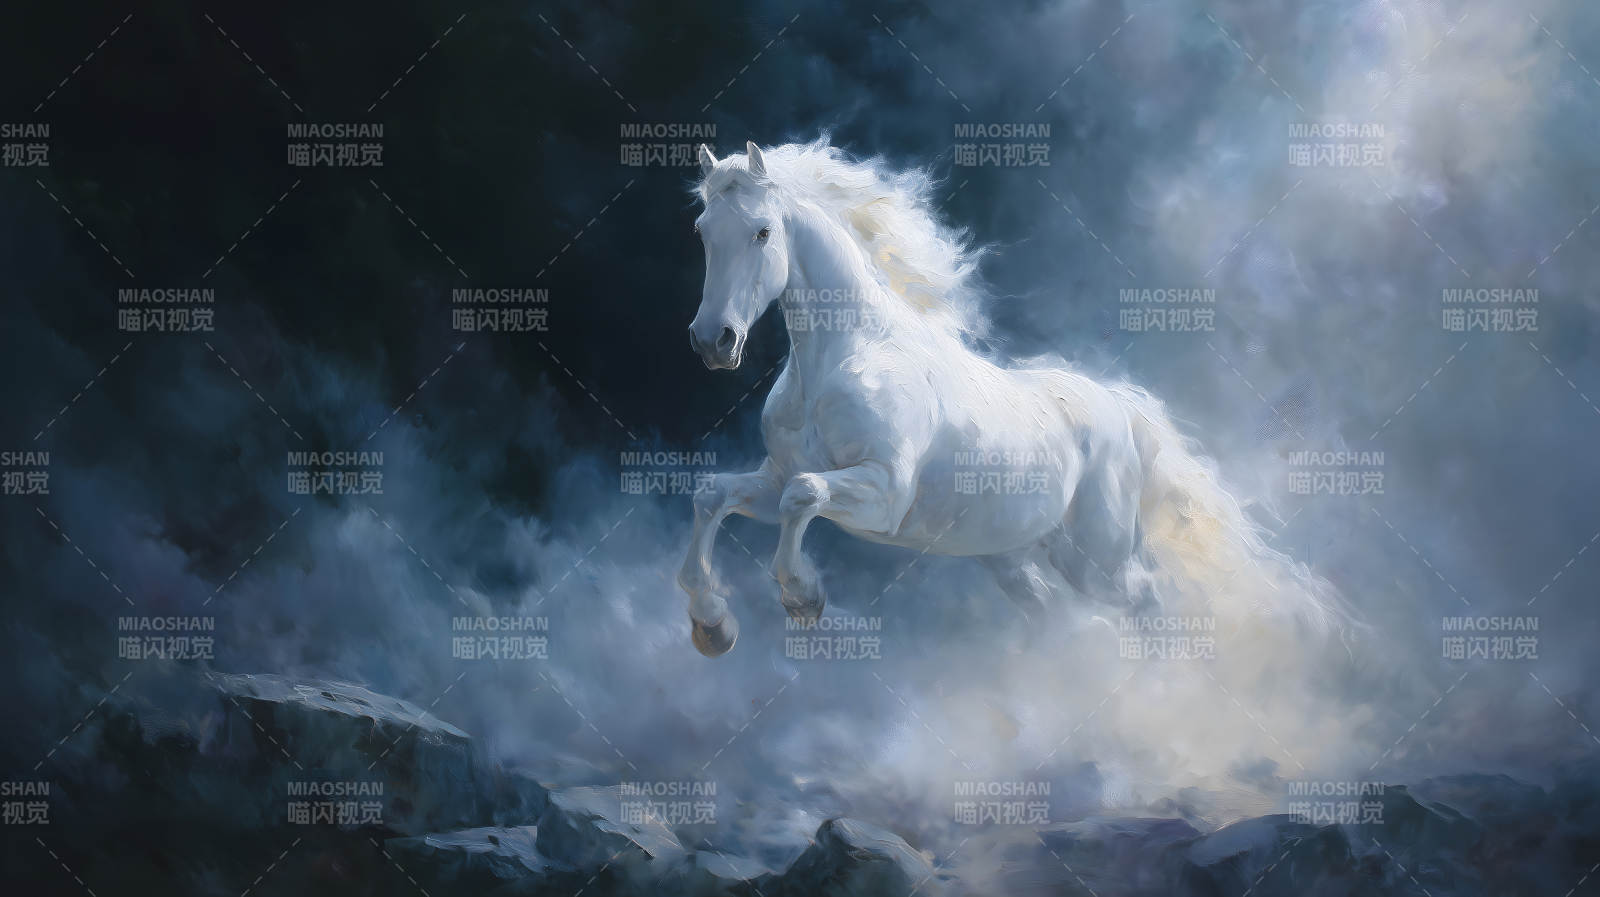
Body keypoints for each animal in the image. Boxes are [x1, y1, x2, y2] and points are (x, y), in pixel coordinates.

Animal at [677, 138, 1343, 657]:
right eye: (702, 232)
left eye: (762, 232)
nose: (714, 342)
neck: (843, 357)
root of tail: (1120, 408)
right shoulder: (769, 478)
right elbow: (715, 495)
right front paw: (712, 624)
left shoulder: (884, 494)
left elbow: (804, 494)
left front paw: (803, 596)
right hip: (1014, 558)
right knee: (1059, 618)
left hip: (1098, 560)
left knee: (1146, 599)